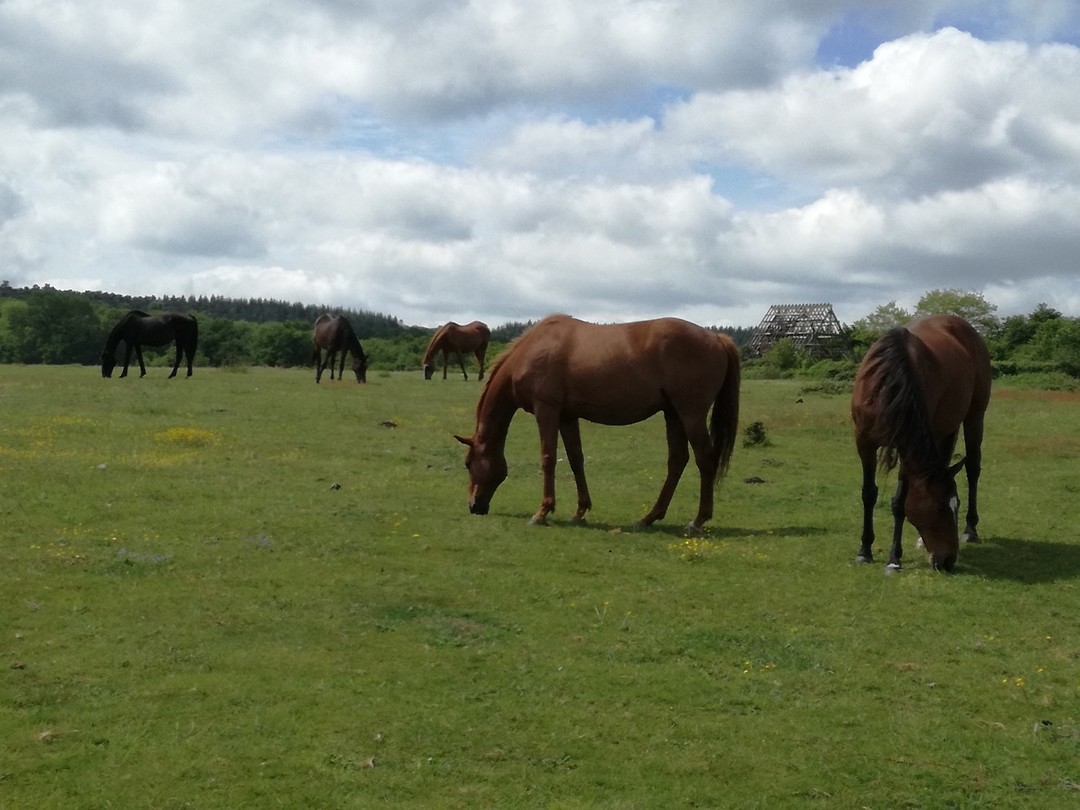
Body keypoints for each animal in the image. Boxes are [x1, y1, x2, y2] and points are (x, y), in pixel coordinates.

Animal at [454, 315, 741, 532]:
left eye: (468, 463)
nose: (474, 506)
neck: (533, 350)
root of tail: (717, 338)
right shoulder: (567, 416)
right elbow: (575, 459)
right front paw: (580, 512)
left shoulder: (547, 410)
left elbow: (548, 458)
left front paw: (542, 512)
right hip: (673, 414)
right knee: (677, 461)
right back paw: (649, 517)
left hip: (690, 413)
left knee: (705, 459)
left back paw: (697, 521)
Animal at [851, 315, 991, 573]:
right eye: (940, 508)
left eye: (957, 505)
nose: (948, 561)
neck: (887, 385)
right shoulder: (864, 442)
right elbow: (869, 493)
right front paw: (864, 550)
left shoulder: (908, 448)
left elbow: (900, 502)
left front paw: (893, 559)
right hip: (946, 428)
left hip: (975, 416)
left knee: (973, 468)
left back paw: (970, 530)